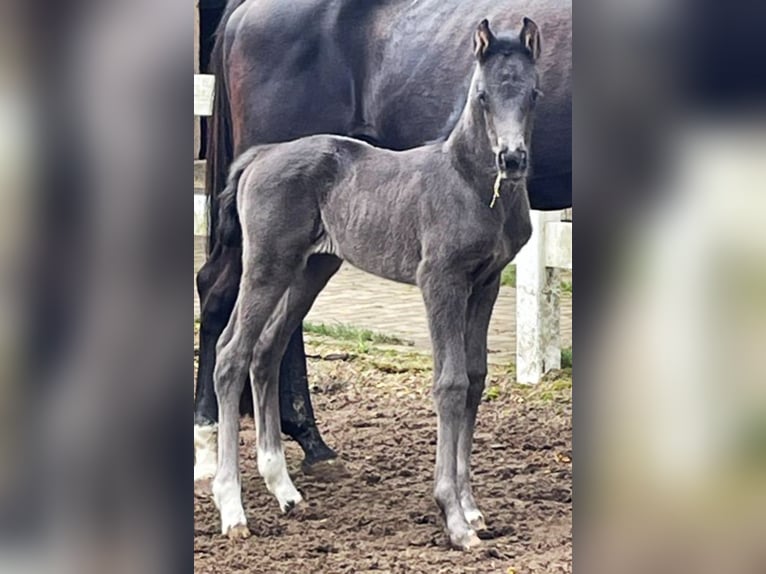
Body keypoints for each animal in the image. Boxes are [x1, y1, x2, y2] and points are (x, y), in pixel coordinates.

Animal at [213, 15, 544, 552]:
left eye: (533, 93)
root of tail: (261, 156)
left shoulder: (487, 282)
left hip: (310, 268)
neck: (471, 183)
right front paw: (453, 518)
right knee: (231, 354)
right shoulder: (440, 280)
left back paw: (284, 490)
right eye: (481, 96)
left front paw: (473, 511)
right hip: (266, 264)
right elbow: (450, 382)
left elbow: (474, 379)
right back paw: (232, 509)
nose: (512, 159)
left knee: (266, 350)